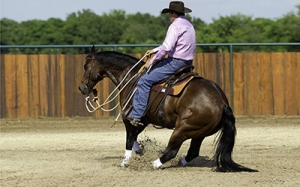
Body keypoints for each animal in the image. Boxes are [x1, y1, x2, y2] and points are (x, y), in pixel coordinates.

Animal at [78, 45, 256, 172]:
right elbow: (134, 138)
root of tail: (222, 103)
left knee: (172, 151)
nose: (82, 88)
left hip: (182, 129)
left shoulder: (129, 118)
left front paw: (125, 162)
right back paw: (179, 163)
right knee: (192, 152)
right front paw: (139, 151)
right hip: (199, 133)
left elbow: (129, 140)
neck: (132, 78)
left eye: (86, 66)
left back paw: (153, 164)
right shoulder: (143, 120)